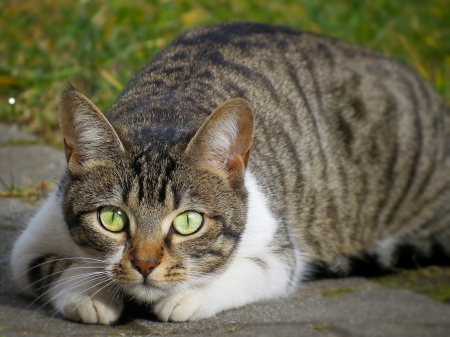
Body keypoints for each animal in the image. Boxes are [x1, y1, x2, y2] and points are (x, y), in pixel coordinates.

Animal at [10, 21, 450, 322]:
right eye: (112, 219)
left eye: (188, 222)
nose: (145, 265)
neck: (162, 113)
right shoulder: (33, 241)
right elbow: (52, 266)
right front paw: (90, 295)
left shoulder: (279, 251)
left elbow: (243, 270)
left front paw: (186, 296)